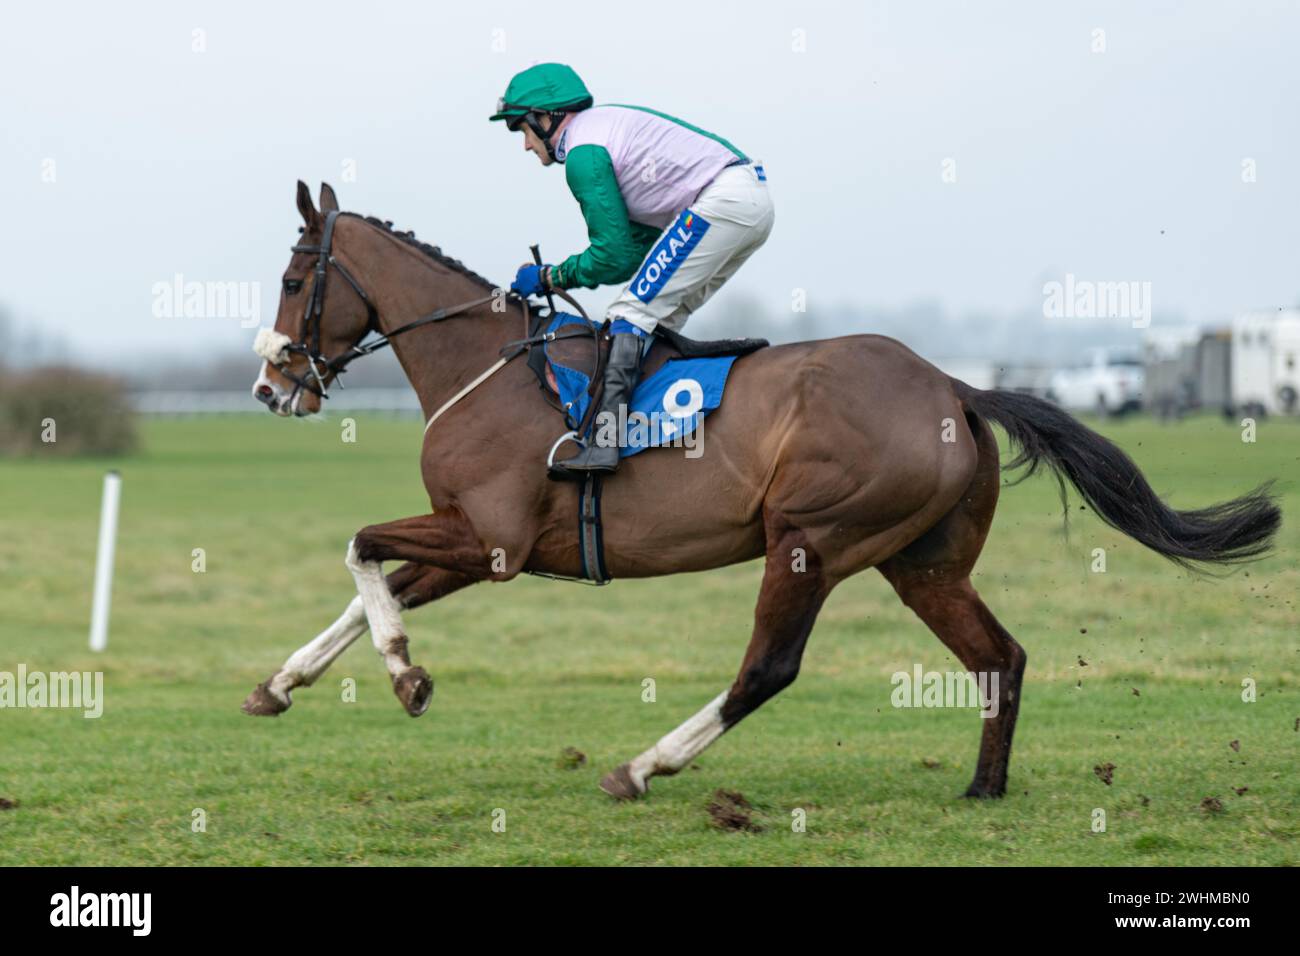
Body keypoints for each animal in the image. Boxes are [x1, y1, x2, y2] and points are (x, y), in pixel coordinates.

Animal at [241, 183, 1279, 806]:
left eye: (294, 278)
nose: (269, 386)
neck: (485, 366)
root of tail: (953, 386)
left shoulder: (490, 540)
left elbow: (359, 545)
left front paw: (406, 675)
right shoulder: (482, 540)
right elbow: (368, 583)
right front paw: (281, 683)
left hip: (810, 538)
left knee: (769, 668)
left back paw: (644, 766)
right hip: (924, 563)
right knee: (1001, 656)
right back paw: (984, 788)